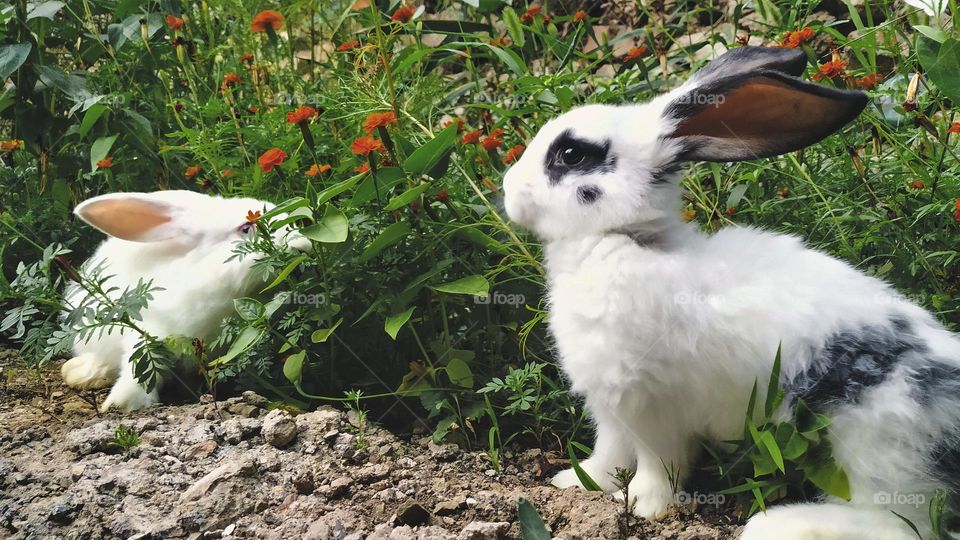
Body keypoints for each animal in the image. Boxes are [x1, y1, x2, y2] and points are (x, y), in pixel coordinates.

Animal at [503, 46, 959, 540]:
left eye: (570, 154)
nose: (507, 187)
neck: (626, 239)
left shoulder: (650, 404)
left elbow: (658, 461)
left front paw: (645, 506)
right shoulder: (611, 408)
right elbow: (609, 453)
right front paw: (576, 481)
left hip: (879, 443)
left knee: (902, 523)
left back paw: (779, 523)